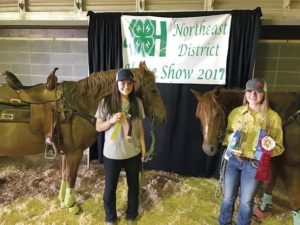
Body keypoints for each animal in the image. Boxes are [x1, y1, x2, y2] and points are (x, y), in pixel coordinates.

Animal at [0, 61, 166, 214]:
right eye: (153, 90)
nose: (163, 118)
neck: (78, 104)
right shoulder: (75, 153)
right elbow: (71, 178)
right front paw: (71, 205)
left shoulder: (65, 152)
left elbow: (64, 175)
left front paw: (62, 201)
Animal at [192, 88, 300, 225]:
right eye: (199, 116)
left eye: (217, 114)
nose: (208, 148)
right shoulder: (274, 162)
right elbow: (268, 185)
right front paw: (261, 210)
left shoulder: (291, 169)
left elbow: (294, 200)